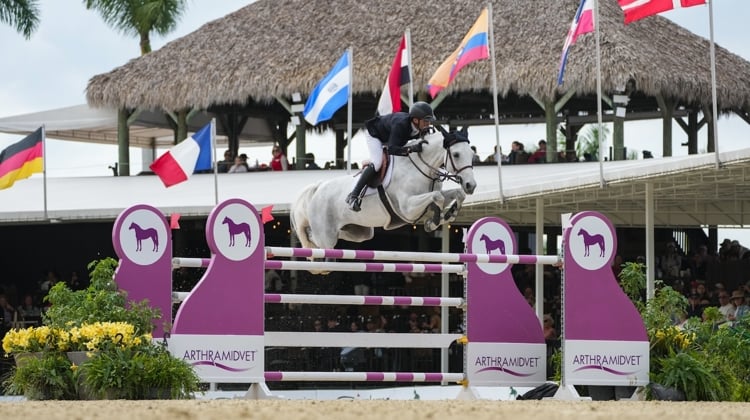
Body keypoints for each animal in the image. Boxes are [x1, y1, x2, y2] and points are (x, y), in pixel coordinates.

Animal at [290, 126, 478, 253]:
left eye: (472, 154)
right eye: (456, 155)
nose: (471, 185)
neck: (421, 168)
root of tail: (317, 188)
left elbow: (455, 194)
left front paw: (448, 215)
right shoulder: (407, 208)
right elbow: (437, 197)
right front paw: (434, 222)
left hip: (359, 232)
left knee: (343, 234)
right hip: (325, 238)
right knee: (313, 239)